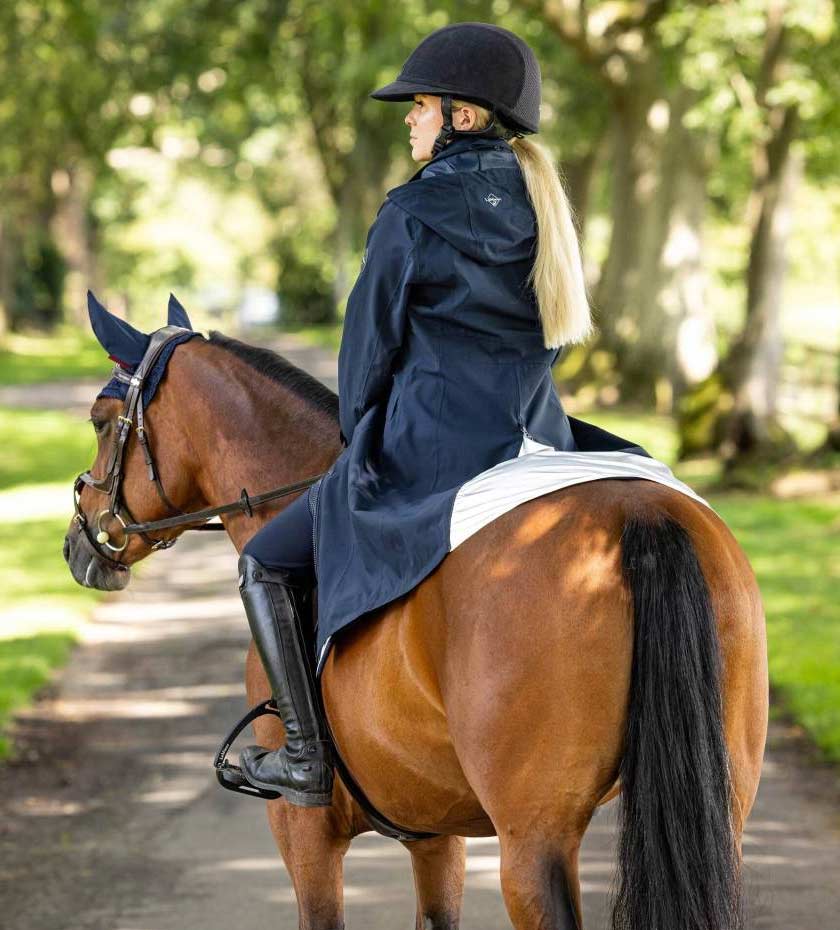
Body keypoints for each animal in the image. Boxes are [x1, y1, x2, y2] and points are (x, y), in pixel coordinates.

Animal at [67, 328, 768, 928]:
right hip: (720, 813)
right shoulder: (436, 834)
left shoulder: (304, 832)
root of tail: (637, 515)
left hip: (533, 842)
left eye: (101, 421)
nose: (81, 538)